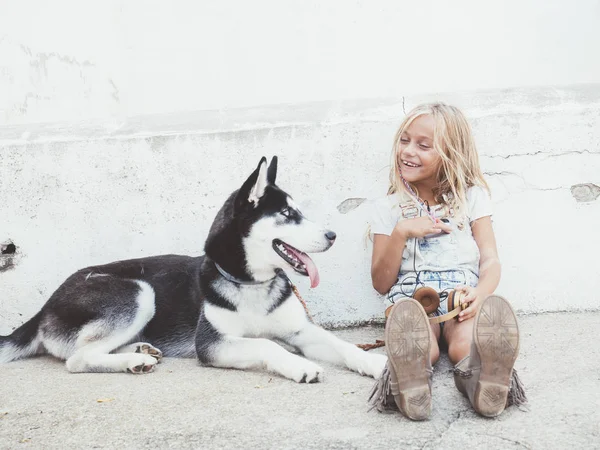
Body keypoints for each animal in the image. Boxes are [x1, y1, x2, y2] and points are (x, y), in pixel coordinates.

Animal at [0, 156, 386, 382]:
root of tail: (44, 307)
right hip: (139, 292)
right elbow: (266, 344)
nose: (333, 235)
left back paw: (139, 352)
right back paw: (130, 362)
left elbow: (344, 346)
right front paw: (299, 365)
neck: (250, 284)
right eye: (288, 214)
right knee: (78, 359)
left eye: (298, 211)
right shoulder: (213, 344)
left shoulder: (301, 331)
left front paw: (379, 364)